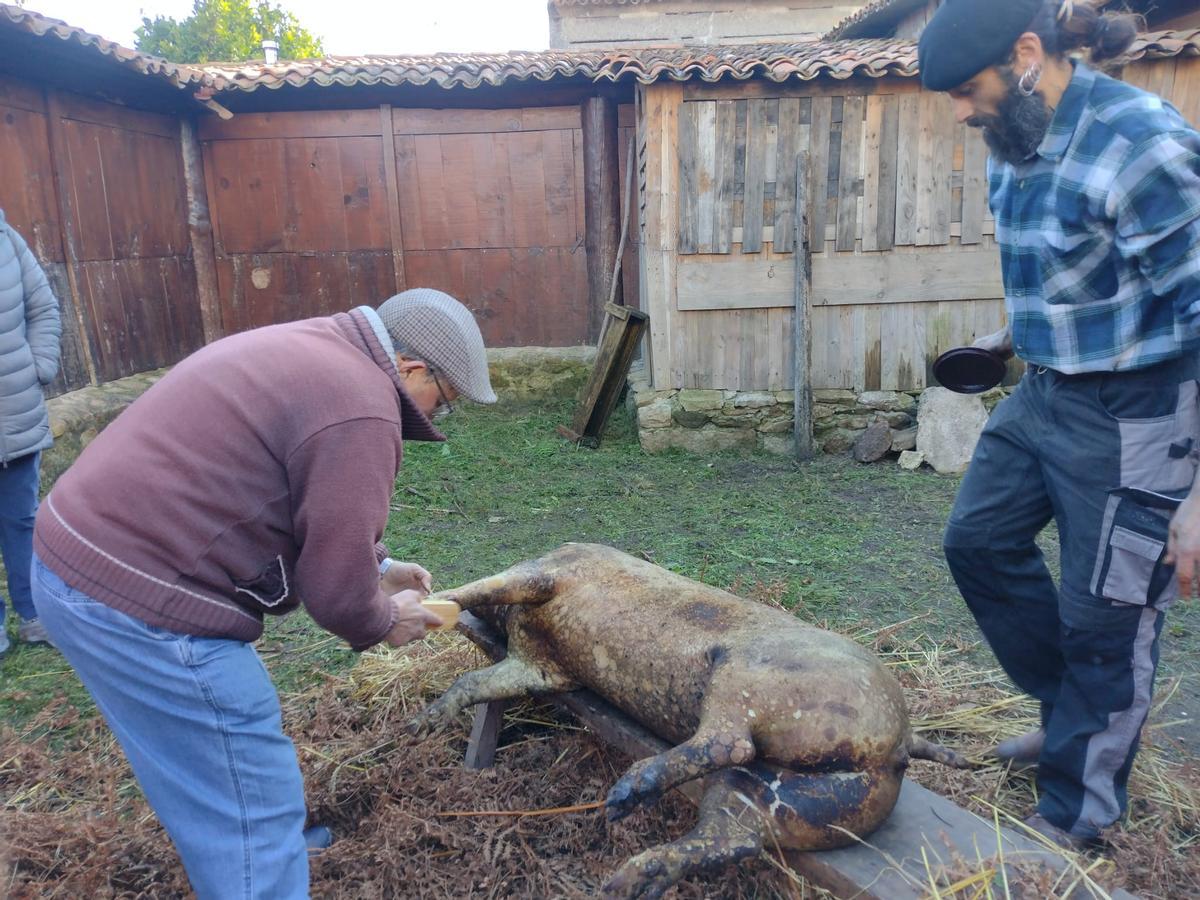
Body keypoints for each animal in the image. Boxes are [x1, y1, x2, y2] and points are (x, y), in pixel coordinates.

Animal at [410, 547, 964, 897]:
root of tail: (902, 743)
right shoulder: (543, 667)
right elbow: (472, 682)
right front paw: (424, 724)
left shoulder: (551, 574)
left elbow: (487, 586)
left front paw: (434, 600)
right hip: (806, 799)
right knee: (732, 834)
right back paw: (626, 880)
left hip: (747, 679)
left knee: (731, 741)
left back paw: (623, 798)